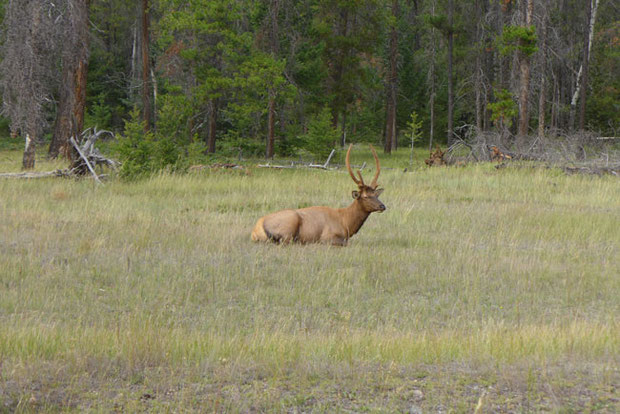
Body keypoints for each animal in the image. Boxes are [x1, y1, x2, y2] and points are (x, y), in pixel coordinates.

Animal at [251, 145, 386, 246]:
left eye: (376, 195)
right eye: (365, 196)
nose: (382, 206)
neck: (346, 224)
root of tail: (255, 230)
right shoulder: (328, 236)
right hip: (289, 224)